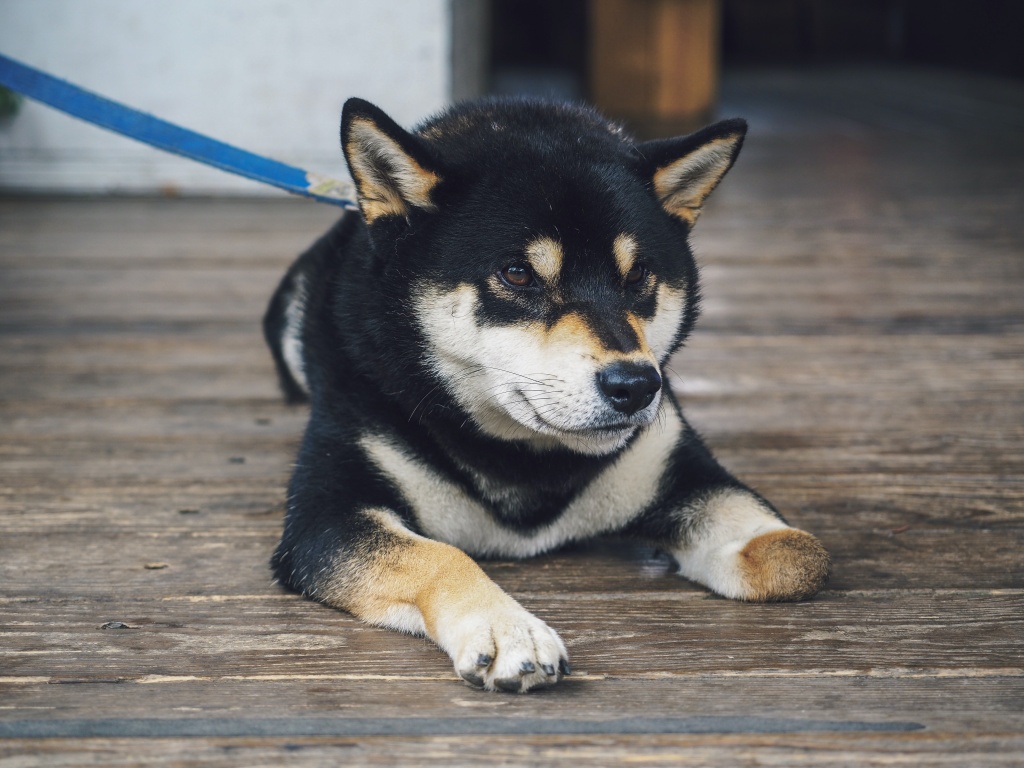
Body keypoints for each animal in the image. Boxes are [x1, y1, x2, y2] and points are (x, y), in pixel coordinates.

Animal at [264, 96, 831, 692]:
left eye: (638, 276)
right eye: (518, 274)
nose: (636, 386)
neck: (524, 458)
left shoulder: (677, 468)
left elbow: (799, 555)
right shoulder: (325, 518)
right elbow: (440, 556)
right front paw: (507, 630)